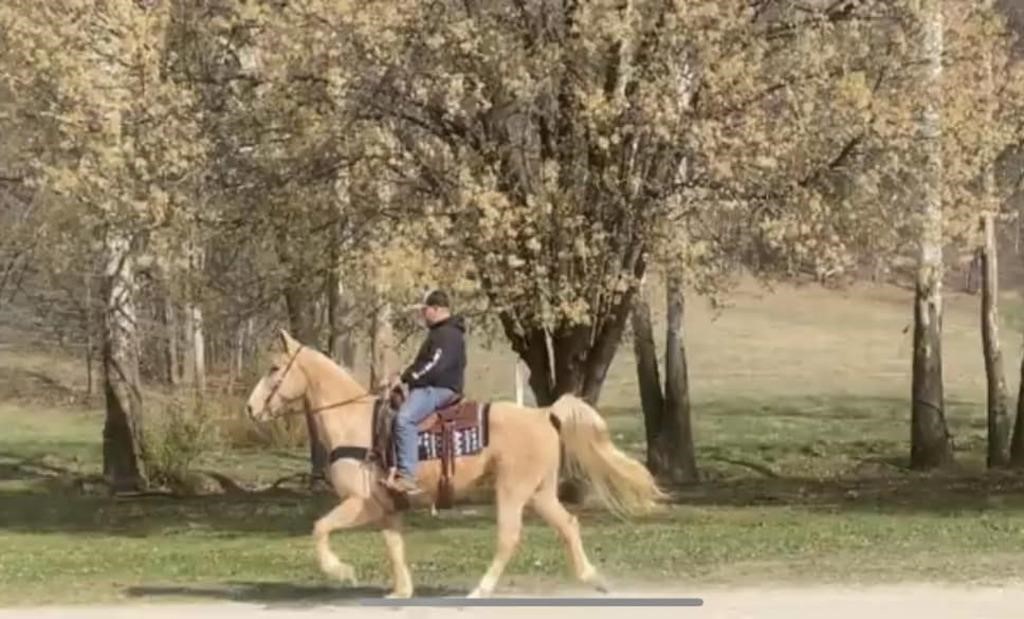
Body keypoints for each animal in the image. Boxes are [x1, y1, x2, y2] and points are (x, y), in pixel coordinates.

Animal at [246, 332, 663, 598]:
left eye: (274, 367)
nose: (250, 408)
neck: (354, 422)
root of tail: (544, 413)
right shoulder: (386, 508)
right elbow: (394, 547)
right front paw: (401, 592)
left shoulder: (358, 503)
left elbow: (320, 528)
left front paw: (343, 572)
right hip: (540, 493)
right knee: (568, 526)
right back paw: (595, 579)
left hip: (512, 490)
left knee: (509, 537)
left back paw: (481, 589)